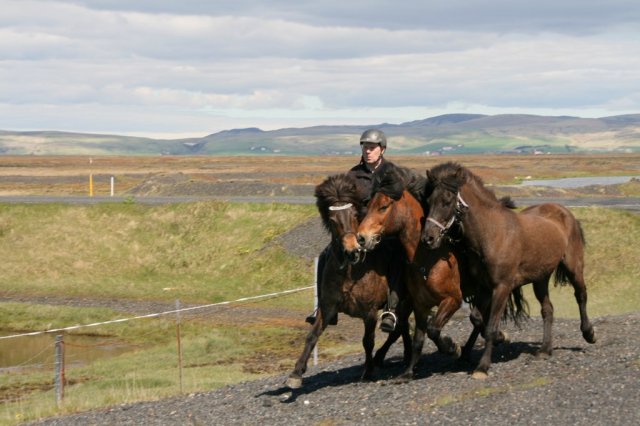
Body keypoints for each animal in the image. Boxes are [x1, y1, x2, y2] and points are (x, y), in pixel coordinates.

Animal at [284, 173, 410, 390]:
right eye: (332, 219)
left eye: (354, 215)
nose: (353, 251)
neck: (351, 273)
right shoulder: (327, 309)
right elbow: (312, 336)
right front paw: (296, 373)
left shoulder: (369, 313)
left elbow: (367, 341)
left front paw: (368, 371)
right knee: (403, 328)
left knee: (399, 328)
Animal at [356, 165, 464, 382]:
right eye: (368, 205)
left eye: (383, 207)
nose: (361, 237)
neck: (428, 259)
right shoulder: (420, 305)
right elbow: (419, 338)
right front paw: (407, 372)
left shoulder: (453, 299)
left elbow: (433, 329)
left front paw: (453, 347)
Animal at [422, 161, 596, 378]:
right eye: (429, 200)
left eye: (447, 200)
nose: (428, 238)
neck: (492, 234)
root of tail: (565, 212)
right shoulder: (484, 287)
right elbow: (477, 319)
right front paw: (486, 341)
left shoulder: (502, 287)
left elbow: (489, 327)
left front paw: (482, 367)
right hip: (540, 278)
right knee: (548, 309)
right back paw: (545, 350)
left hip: (574, 267)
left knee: (581, 295)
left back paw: (589, 334)